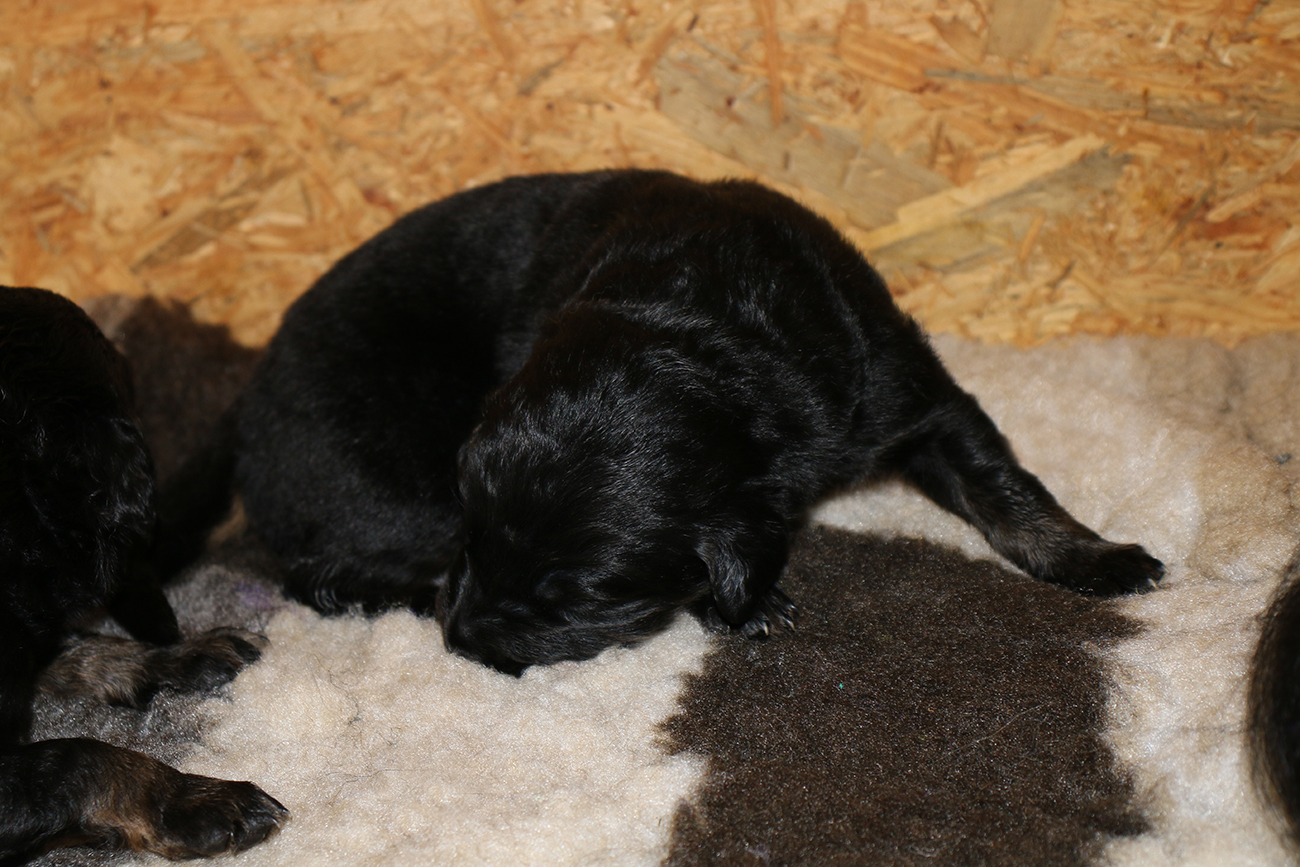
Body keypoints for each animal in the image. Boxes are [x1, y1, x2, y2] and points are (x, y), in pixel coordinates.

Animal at [164, 170, 1163, 676]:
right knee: (324, 574)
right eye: (480, 542)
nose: (464, 642)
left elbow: (1001, 479)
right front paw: (750, 600)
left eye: (578, 594)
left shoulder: (905, 388)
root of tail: (242, 420)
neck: (698, 331)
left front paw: (1095, 556)